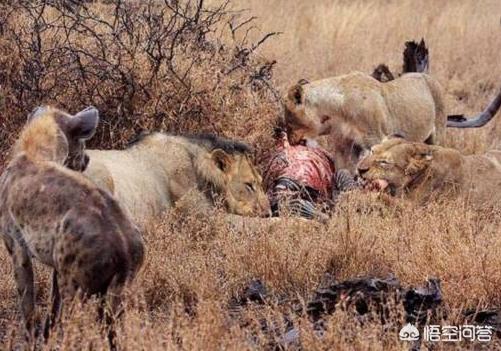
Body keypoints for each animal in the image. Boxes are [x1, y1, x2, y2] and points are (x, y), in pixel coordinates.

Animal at [284, 72, 500, 174]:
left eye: (288, 117)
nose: (290, 140)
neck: (336, 109)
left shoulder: (376, 138)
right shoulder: (343, 146)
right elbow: (343, 172)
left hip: (437, 134)